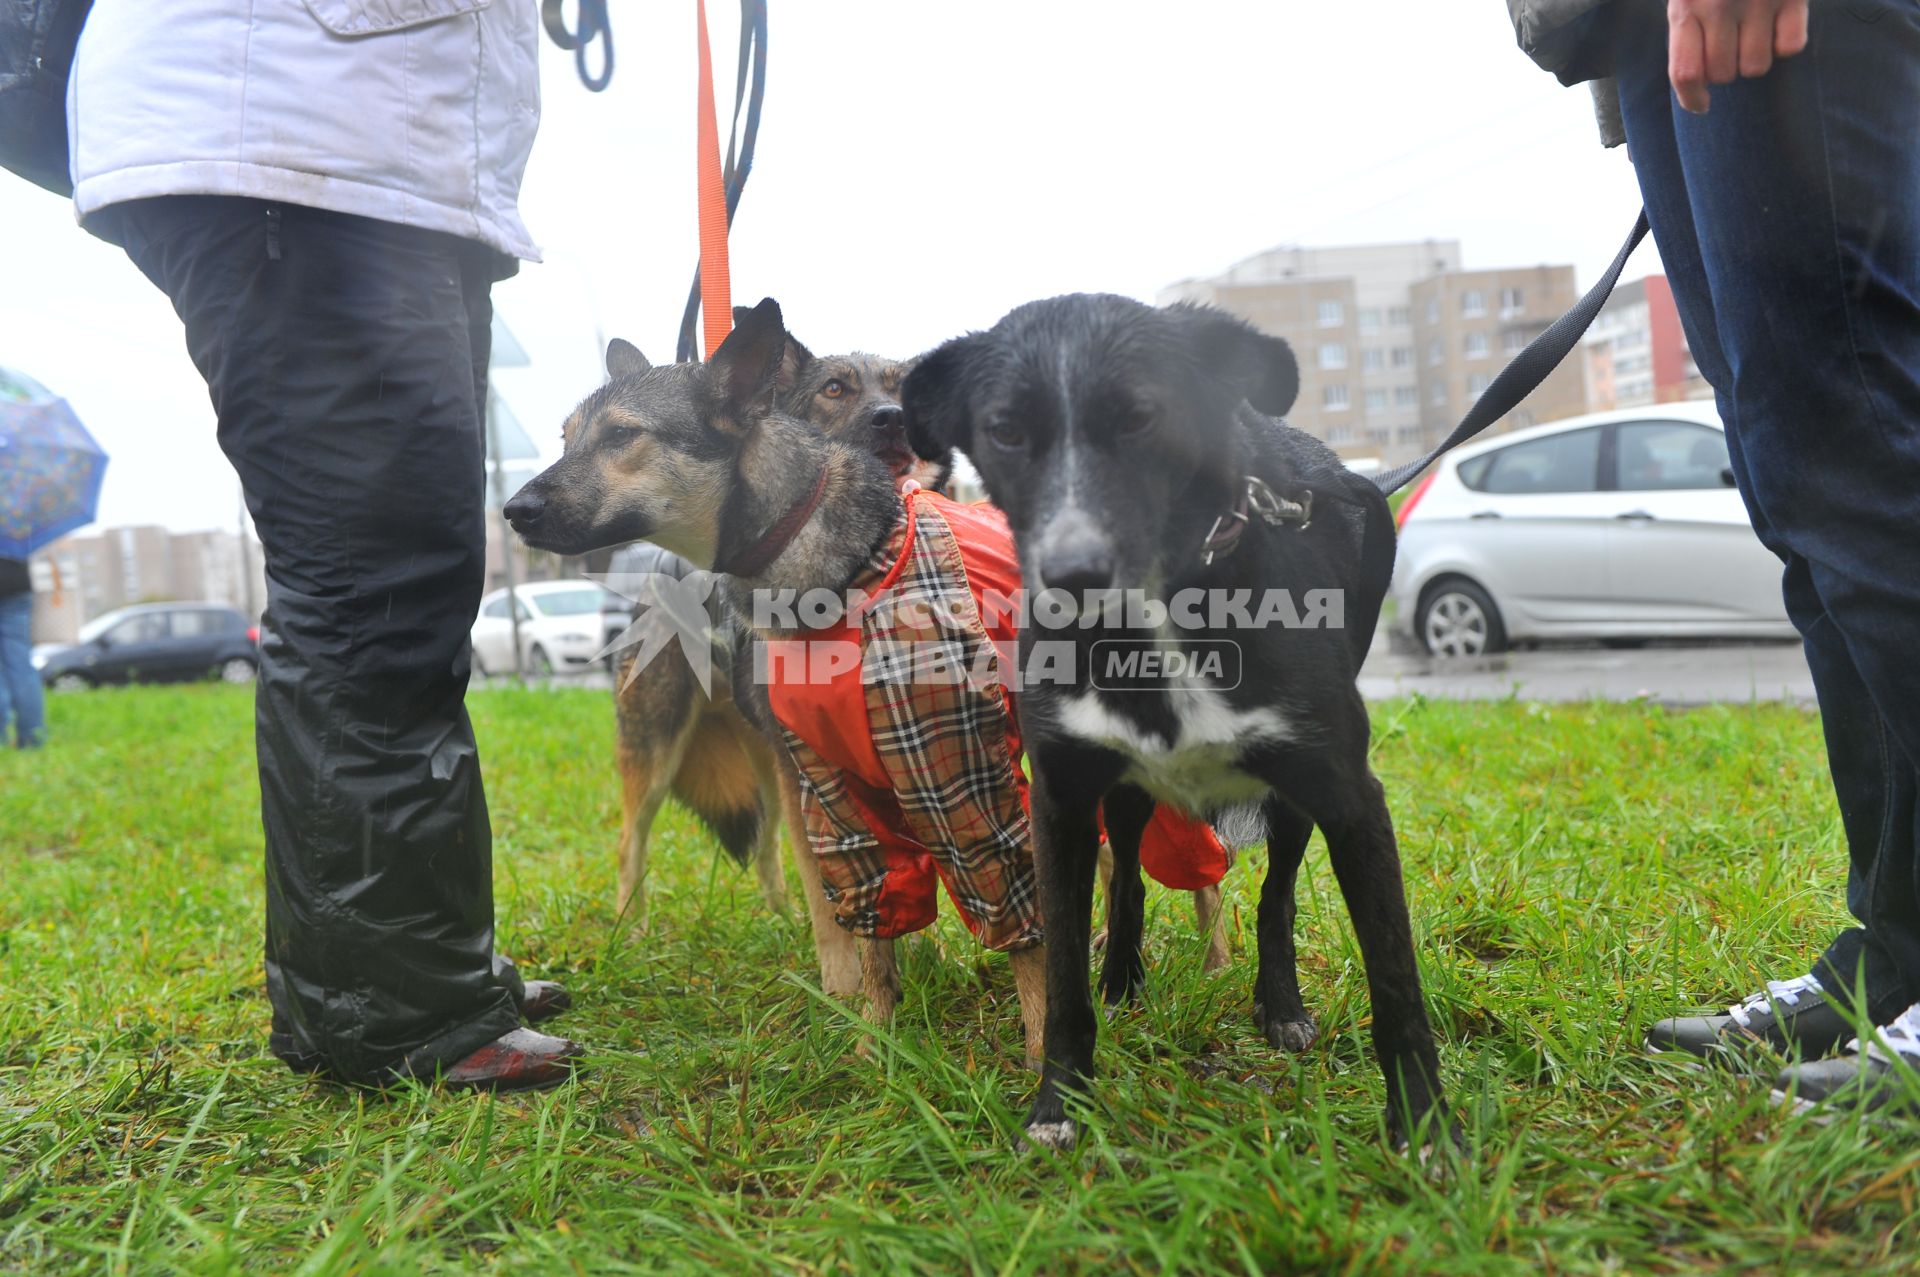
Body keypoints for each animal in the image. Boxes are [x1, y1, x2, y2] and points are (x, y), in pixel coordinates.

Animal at [906, 293, 1443, 1152]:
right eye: (1006, 430)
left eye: (1140, 417)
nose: (1073, 577)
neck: (1153, 622)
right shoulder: (1060, 799)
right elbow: (1062, 974)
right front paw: (1058, 1102)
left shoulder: (1348, 793)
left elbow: (1395, 980)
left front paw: (1426, 1125)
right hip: (1124, 796)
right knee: (1126, 873)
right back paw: (1122, 974)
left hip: (1293, 800)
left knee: (1276, 898)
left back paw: (1280, 1004)